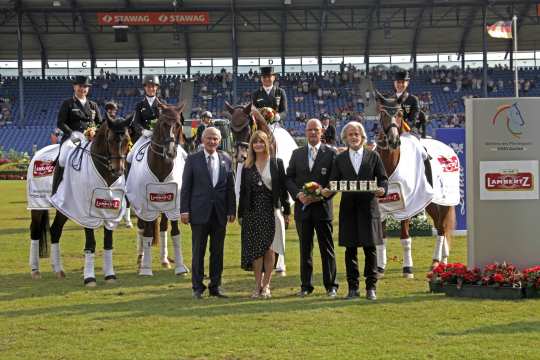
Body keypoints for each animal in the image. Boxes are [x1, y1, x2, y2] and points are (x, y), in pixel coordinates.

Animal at [47, 116, 132, 286]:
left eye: (127, 140)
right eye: (110, 140)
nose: (118, 170)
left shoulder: (111, 213)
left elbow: (108, 242)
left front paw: (110, 275)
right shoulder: (86, 213)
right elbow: (90, 244)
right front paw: (90, 278)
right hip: (64, 206)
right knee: (55, 230)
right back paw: (58, 270)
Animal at [126, 103, 189, 276]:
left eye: (178, 124)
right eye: (163, 124)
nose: (170, 152)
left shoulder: (174, 205)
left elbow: (175, 233)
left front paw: (180, 267)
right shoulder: (144, 206)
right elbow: (147, 234)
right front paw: (146, 269)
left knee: (162, 228)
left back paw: (164, 259)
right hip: (139, 205)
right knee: (142, 228)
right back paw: (141, 259)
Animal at [376, 93, 456, 278]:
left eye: (399, 114)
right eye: (383, 113)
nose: (393, 140)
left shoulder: (407, 206)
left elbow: (405, 238)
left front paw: (407, 269)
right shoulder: (382, 206)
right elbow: (382, 239)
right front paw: (380, 269)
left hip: (442, 202)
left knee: (442, 229)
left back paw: (437, 263)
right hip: (430, 203)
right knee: (440, 226)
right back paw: (442, 261)